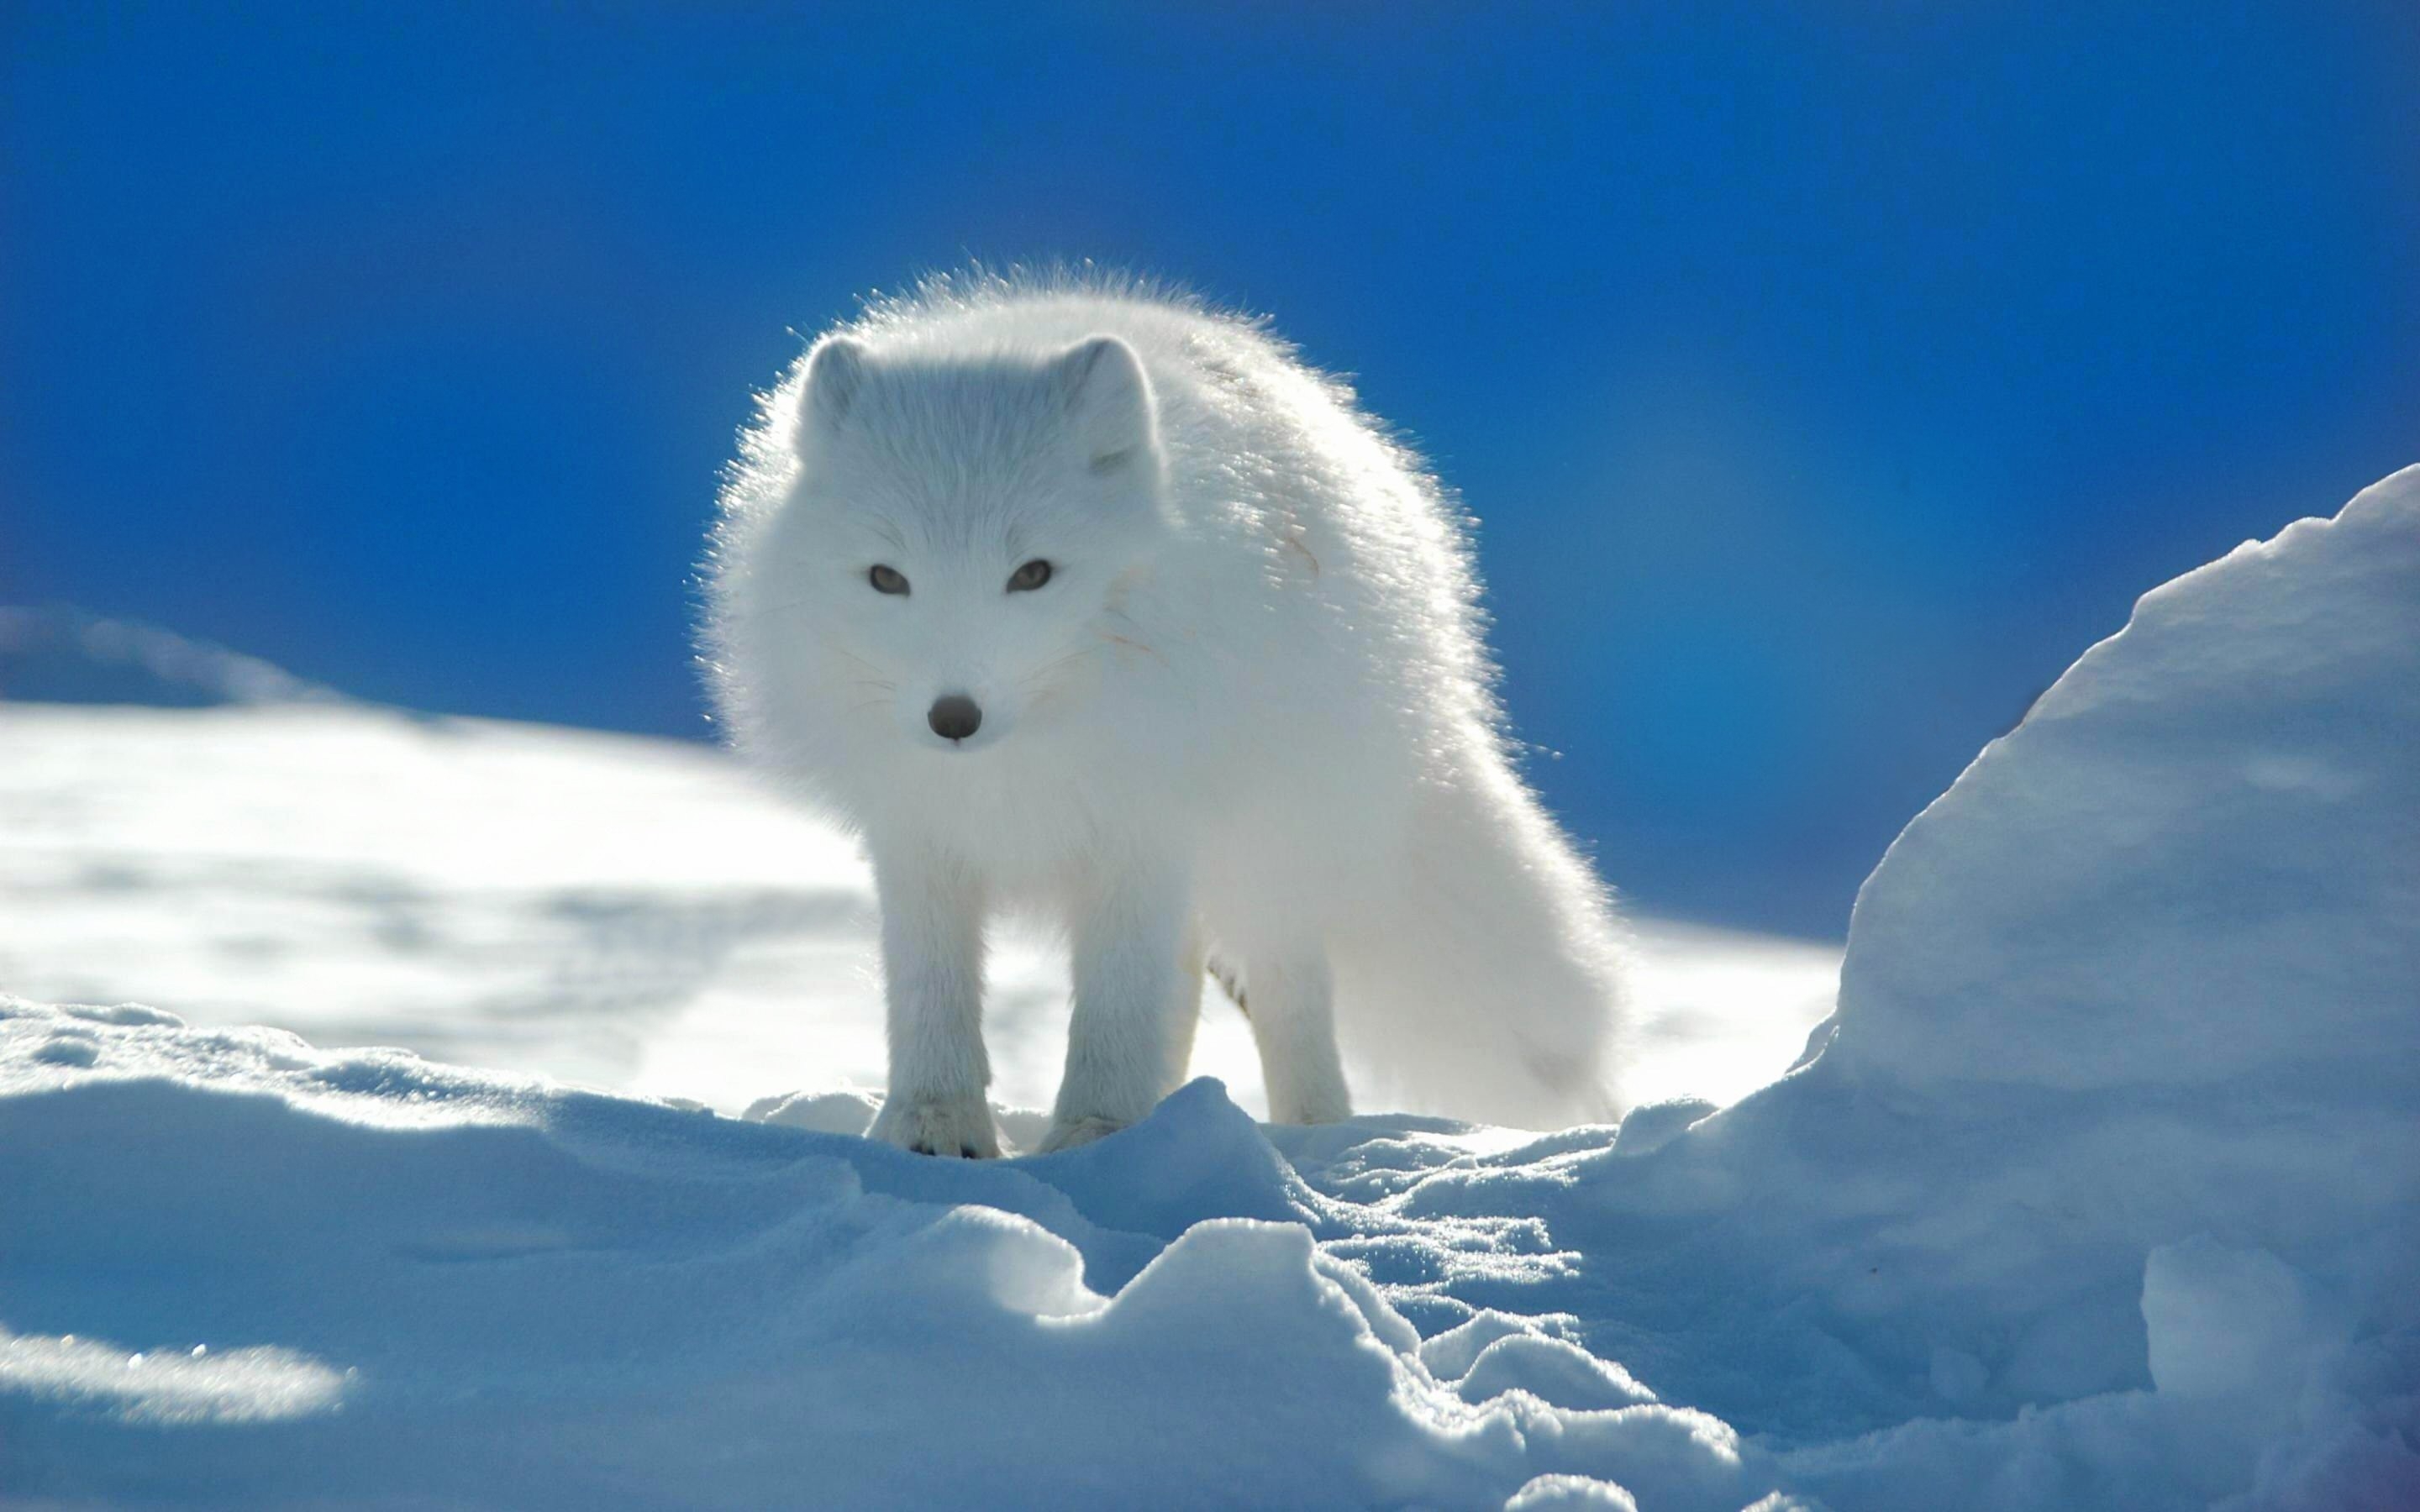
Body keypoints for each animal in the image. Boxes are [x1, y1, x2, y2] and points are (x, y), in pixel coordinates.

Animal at [706, 274, 1635, 1156]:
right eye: (885, 578)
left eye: (1033, 574)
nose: (953, 718)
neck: (1025, 759)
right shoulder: (917, 833)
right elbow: (930, 992)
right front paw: (933, 1126)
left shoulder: (1144, 826)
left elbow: (1117, 1006)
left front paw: (1096, 1135)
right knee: (1184, 985)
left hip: (1273, 846)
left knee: (1286, 994)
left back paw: (1311, 1134)